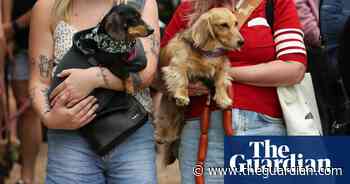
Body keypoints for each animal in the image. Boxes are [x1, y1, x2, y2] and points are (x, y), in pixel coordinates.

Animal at [154, 7, 245, 166]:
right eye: (223, 25)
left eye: (236, 23)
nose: (242, 42)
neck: (209, 51)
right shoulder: (178, 64)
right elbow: (182, 79)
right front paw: (182, 95)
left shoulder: (221, 65)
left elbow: (221, 81)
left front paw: (223, 98)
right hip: (167, 112)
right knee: (164, 125)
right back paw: (162, 136)